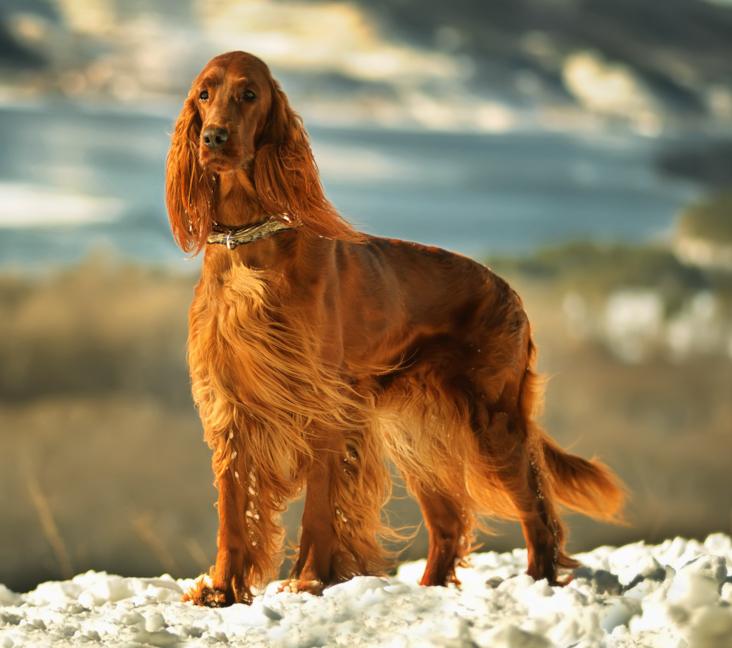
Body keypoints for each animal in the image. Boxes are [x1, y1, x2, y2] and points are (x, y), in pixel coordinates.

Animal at [164, 52, 624, 608]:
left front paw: (309, 581)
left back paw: (538, 583)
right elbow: (234, 510)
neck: (248, 245)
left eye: (249, 94)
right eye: (204, 94)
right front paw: (222, 591)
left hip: (492, 420)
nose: (214, 137)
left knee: (536, 506)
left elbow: (320, 508)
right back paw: (431, 589)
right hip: (420, 435)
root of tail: (510, 292)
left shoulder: (326, 408)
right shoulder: (232, 405)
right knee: (449, 522)